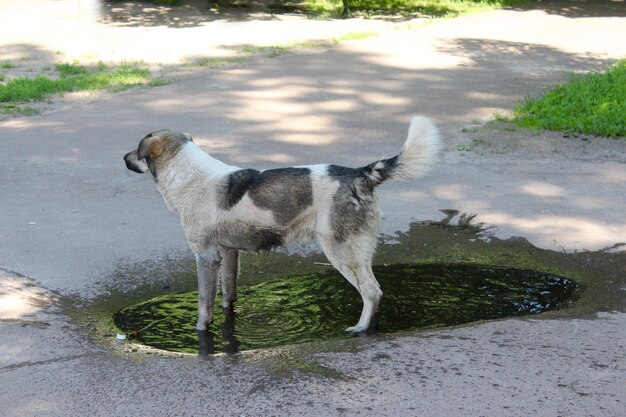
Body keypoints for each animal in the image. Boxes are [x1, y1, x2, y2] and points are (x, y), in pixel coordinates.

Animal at [123, 116, 438, 332]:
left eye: (137, 150)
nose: (123, 157)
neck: (189, 175)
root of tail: (359, 174)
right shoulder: (228, 253)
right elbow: (228, 295)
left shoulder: (206, 256)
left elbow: (204, 303)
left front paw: (201, 330)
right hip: (356, 253)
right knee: (375, 292)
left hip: (341, 253)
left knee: (372, 292)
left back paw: (360, 329)